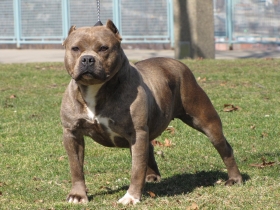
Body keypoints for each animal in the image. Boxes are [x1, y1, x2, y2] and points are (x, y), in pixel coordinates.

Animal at [60, 20, 242, 205]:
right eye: (75, 48)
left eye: (104, 48)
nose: (87, 59)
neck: (95, 90)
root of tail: (177, 62)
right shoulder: (72, 133)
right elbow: (76, 167)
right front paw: (77, 195)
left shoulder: (136, 133)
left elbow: (136, 169)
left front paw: (131, 197)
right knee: (149, 148)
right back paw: (152, 176)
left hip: (206, 121)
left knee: (224, 147)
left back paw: (235, 179)